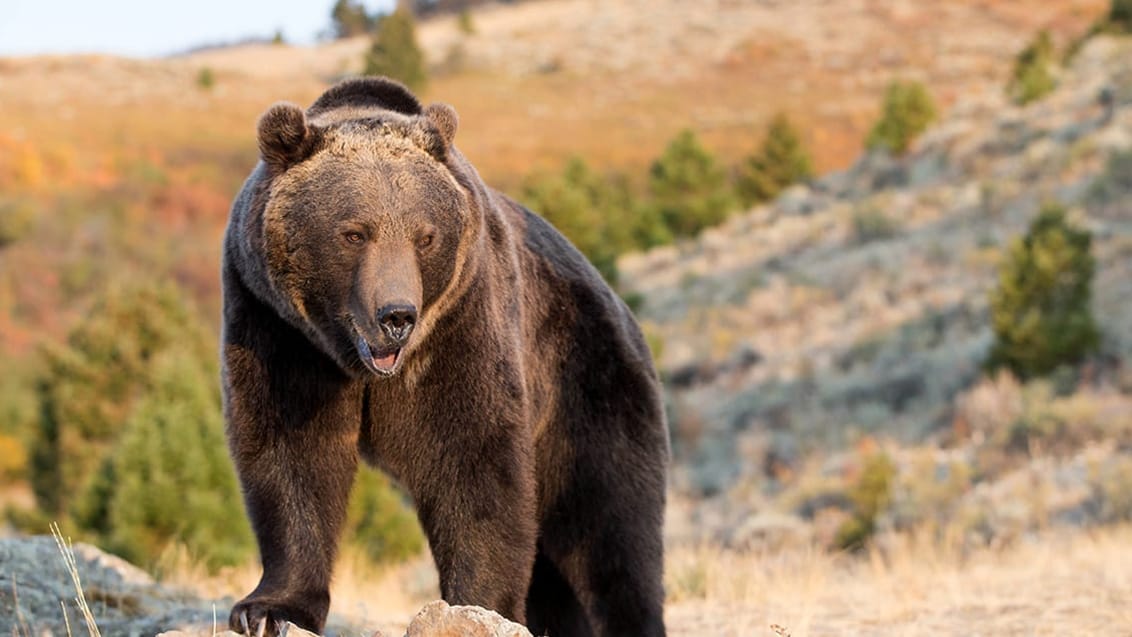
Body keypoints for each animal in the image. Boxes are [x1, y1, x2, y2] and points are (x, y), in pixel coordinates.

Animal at [218, 77, 670, 633]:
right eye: (354, 232)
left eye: (424, 236)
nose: (397, 315)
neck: (355, 364)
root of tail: (624, 308)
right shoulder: (278, 328)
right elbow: (291, 452)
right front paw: (267, 609)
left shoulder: (461, 324)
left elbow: (473, 461)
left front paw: (476, 606)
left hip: (587, 385)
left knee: (611, 527)